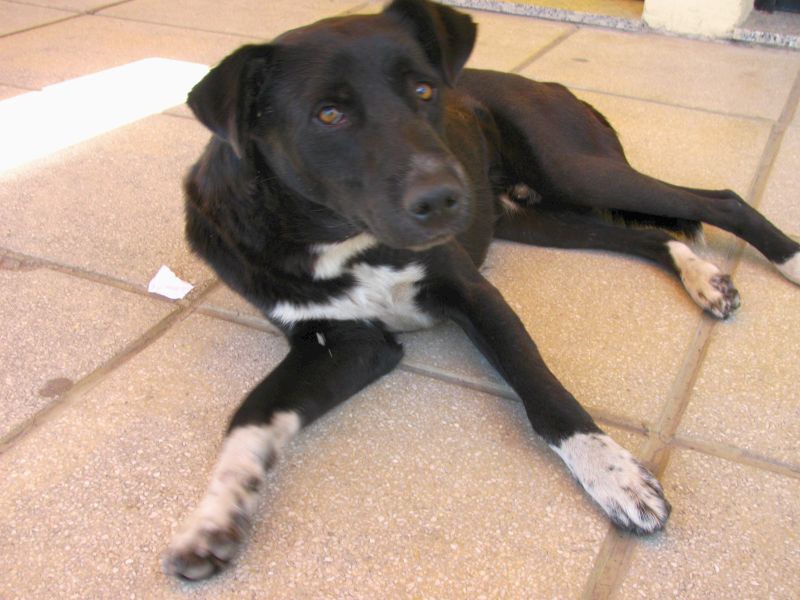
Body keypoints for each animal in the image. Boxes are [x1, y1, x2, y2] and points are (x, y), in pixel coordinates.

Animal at [163, 0, 800, 580]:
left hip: (573, 169)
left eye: (423, 90)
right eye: (327, 114)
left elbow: (541, 388)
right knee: (646, 237)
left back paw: (787, 258)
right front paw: (216, 514)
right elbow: (250, 413)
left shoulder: (476, 295)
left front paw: (611, 473)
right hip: (534, 218)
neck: (340, 240)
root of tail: (545, 82)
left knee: (719, 200)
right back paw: (704, 277)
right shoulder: (348, 345)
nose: (444, 197)